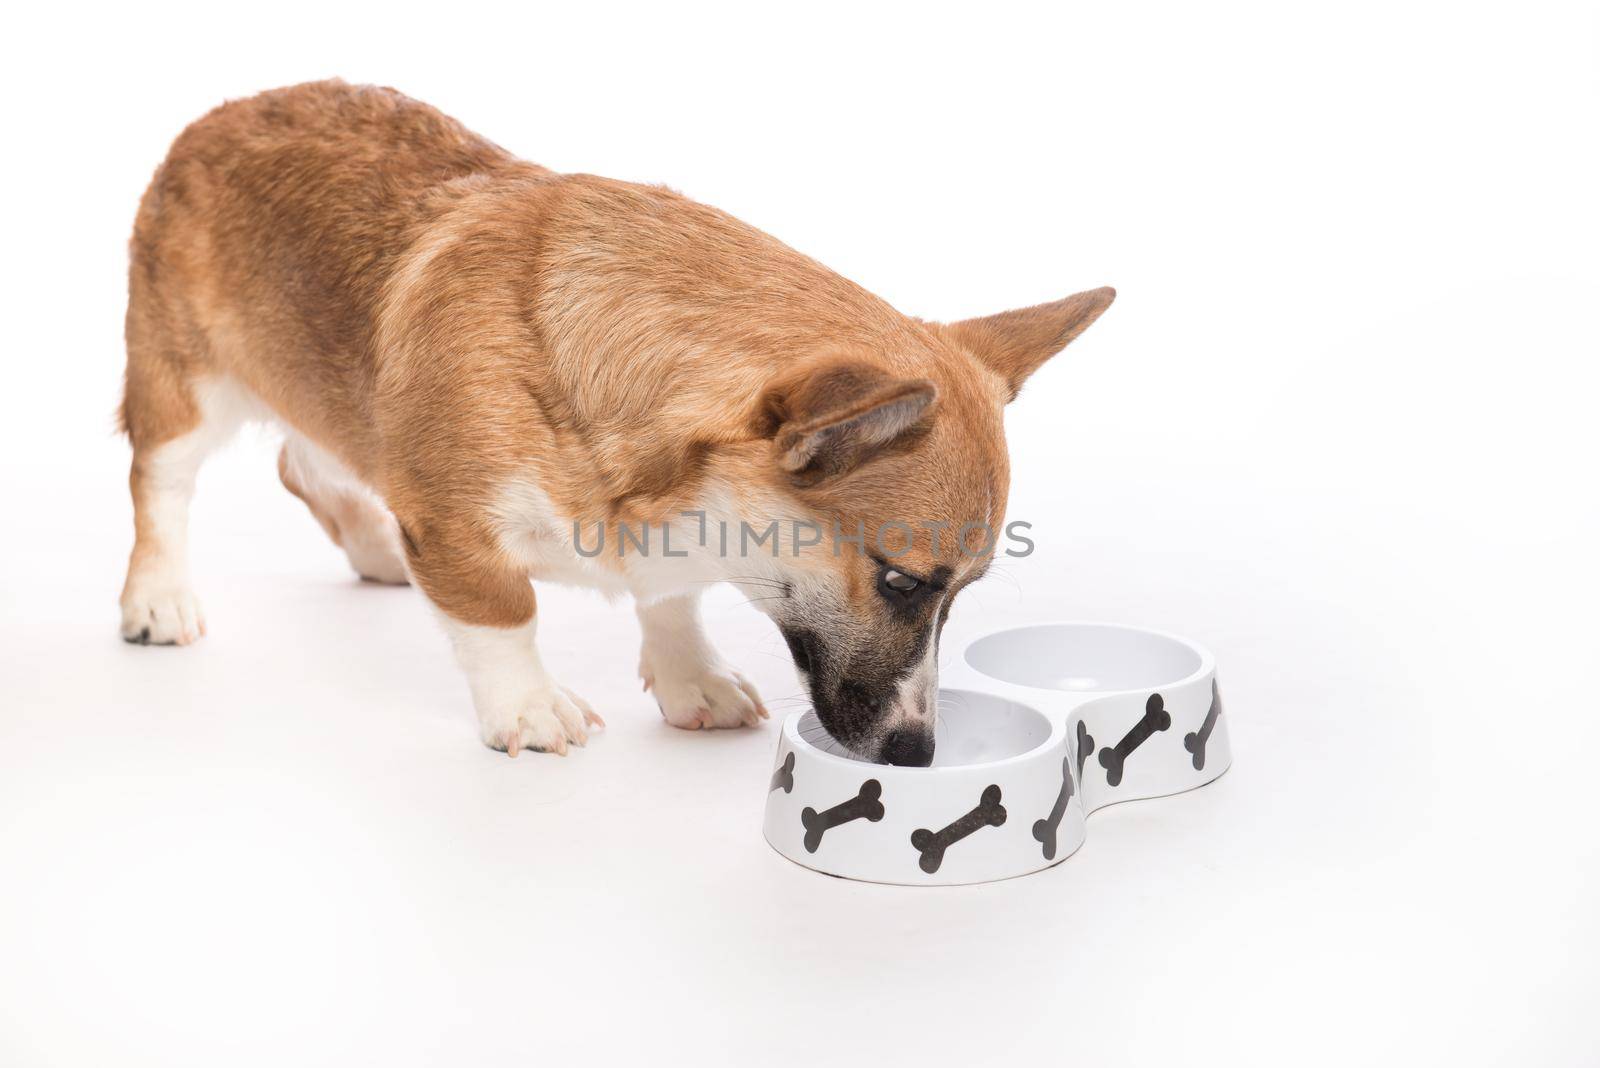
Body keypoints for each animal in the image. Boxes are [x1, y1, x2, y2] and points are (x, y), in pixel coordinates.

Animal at [118, 85, 1113, 767]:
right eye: (903, 582)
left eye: (963, 592)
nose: (918, 755)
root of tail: (223, 113)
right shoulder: (459, 528)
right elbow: (503, 614)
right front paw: (527, 709)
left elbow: (671, 599)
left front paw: (691, 678)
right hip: (185, 389)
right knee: (162, 484)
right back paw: (158, 599)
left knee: (310, 459)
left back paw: (374, 549)